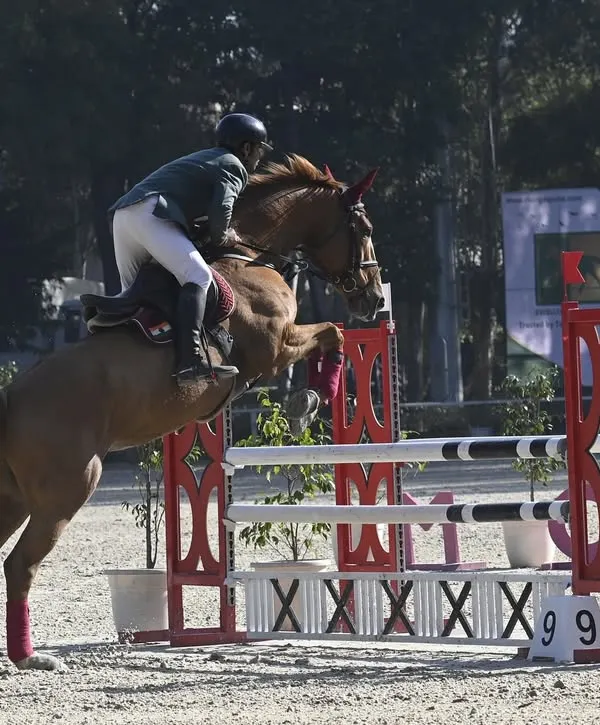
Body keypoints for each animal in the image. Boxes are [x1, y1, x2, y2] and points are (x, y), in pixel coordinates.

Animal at [0, 154, 384, 670]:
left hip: (14, 497)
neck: (248, 256)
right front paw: (309, 400)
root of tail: (12, 397)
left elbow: (333, 334)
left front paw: (309, 399)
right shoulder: (276, 347)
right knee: (20, 564)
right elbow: (333, 333)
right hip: (68, 490)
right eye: (363, 228)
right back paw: (31, 658)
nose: (375, 298)